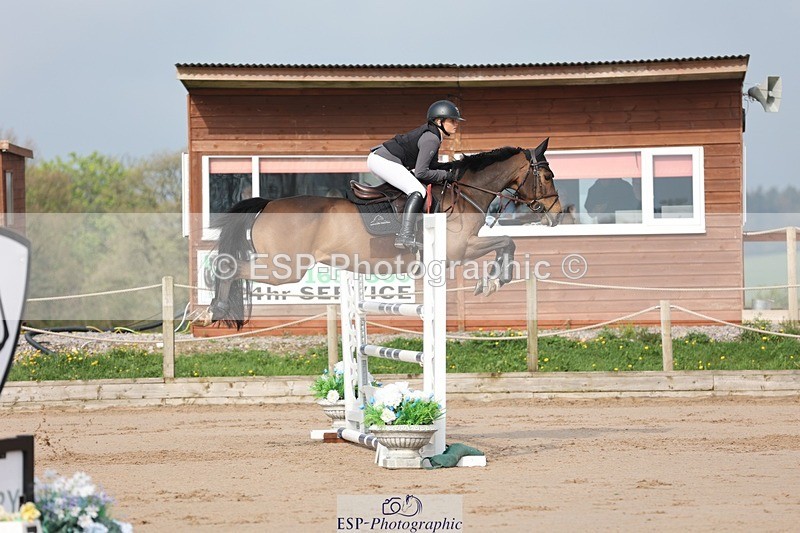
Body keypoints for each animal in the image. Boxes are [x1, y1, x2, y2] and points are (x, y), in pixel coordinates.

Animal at [203, 138, 562, 329]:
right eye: (547, 176)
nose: (557, 214)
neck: (464, 194)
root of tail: (267, 203)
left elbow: (506, 243)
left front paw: (491, 281)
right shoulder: (458, 250)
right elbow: (507, 242)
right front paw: (493, 282)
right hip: (284, 268)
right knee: (229, 267)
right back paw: (215, 309)